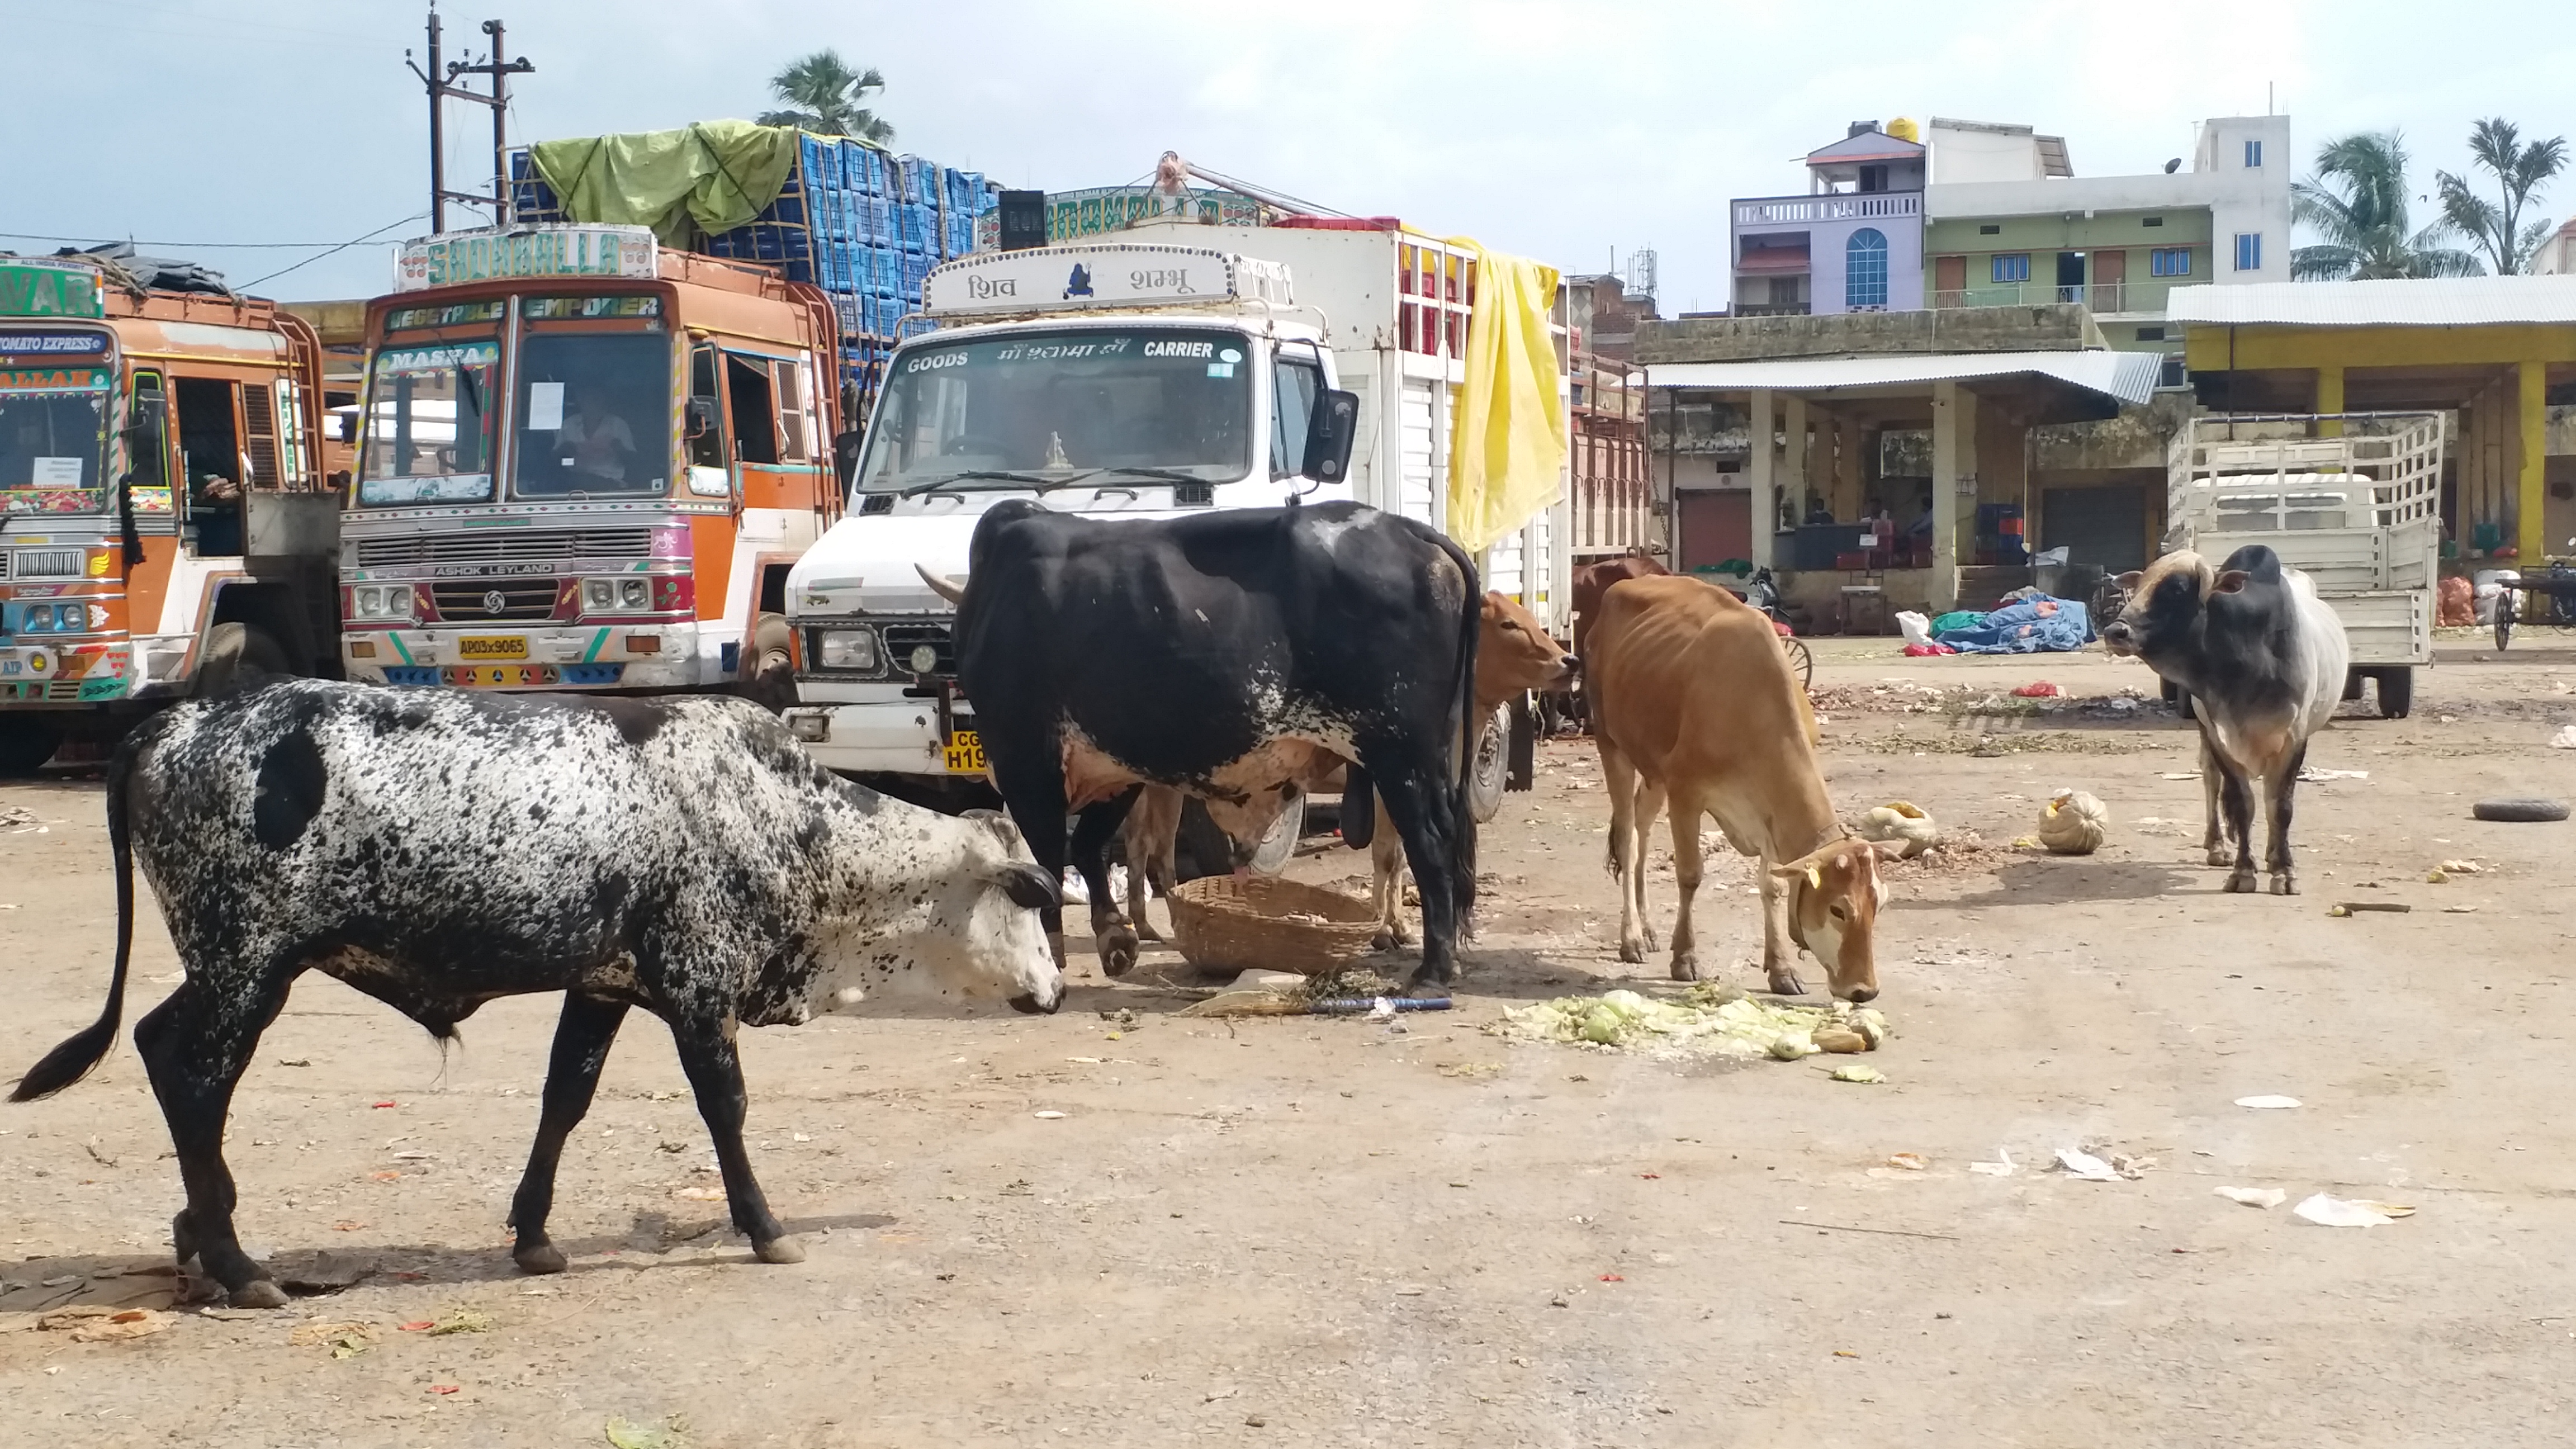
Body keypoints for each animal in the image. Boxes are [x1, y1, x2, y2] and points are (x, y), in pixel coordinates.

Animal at [7, 680, 1056, 1304]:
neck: (783, 816)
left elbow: (565, 1098)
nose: (1051, 991)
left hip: (229, 971)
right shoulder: (695, 981)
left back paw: (200, 1235)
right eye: (1029, 902)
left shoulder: (602, 986)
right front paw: (765, 1230)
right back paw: (234, 1261)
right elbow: (726, 1108)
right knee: (191, 1076)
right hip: (246, 966)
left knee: (161, 1050)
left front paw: (536, 1234)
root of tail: (177, 720)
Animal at [937, 500, 1484, 990]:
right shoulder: (1114, 769)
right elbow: (1088, 845)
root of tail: (1411, 531)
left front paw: (1051, 951)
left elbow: (1049, 858)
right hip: (1429, 754)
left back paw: (1434, 970)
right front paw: (1116, 938)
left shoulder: (1027, 761)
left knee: (1430, 842)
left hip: (1399, 754)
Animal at [1576, 570, 1906, 1000]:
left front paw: (1781, 969)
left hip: (1652, 766)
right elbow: (1690, 875)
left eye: (1878, 906)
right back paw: (1631, 937)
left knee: (1642, 828)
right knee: (1628, 838)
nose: (1864, 990)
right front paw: (1685, 958)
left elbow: (1772, 887)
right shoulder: (1686, 791)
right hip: (1611, 744)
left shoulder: (1765, 809)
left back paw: (1647, 930)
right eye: (1838, 909)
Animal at [2102, 544, 2349, 892]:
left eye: (2177, 590)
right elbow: (2243, 803)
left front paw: (2284, 871)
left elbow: (2280, 806)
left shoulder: (2294, 739)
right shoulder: (2219, 735)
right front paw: (2243, 871)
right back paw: (2217, 846)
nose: (2116, 632)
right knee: (2211, 778)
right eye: (2138, 587)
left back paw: (2272, 854)